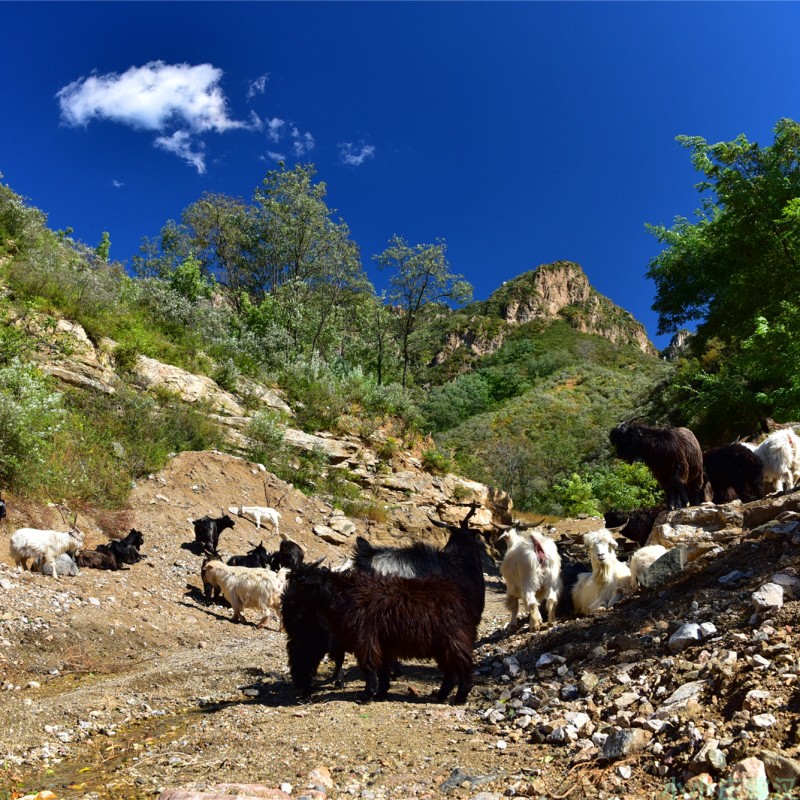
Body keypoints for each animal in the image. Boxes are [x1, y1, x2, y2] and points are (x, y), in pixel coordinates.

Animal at [284, 564, 478, 704]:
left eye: (303, 585)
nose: (290, 601)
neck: (345, 596)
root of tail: (461, 597)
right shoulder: (383, 644)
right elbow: (382, 669)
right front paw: (381, 693)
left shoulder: (366, 640)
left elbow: (369, 666)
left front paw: (368, 694)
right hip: (443, 646)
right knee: (451, 672)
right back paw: (441, 696)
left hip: (454, 641)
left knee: (463, 667)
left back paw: (460, 698)